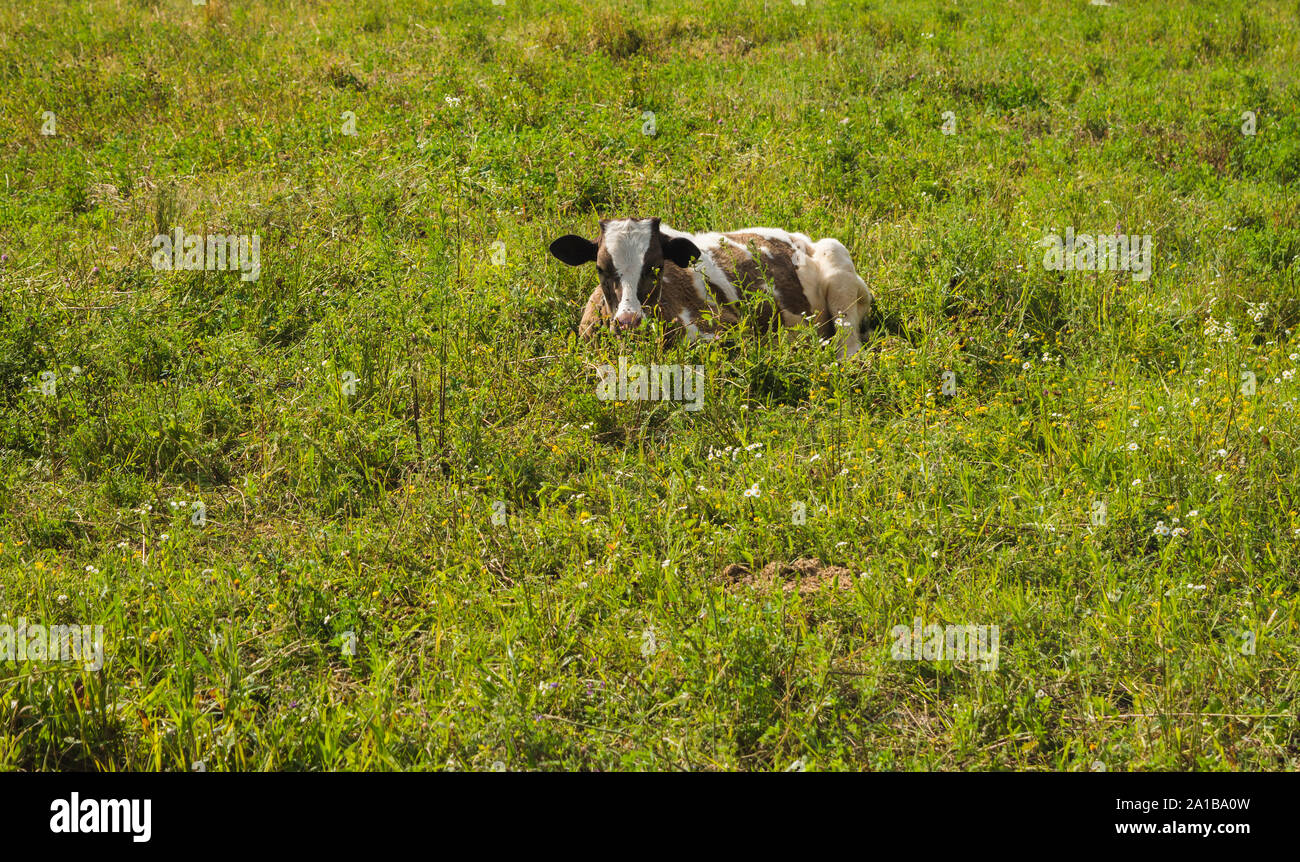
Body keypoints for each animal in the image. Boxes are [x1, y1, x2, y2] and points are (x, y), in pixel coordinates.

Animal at [549, 218, 873, 357]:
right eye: (600, 268)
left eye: (656, 266)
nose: (629, 322)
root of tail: (799, 237)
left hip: (837, 261)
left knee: (848, 339)